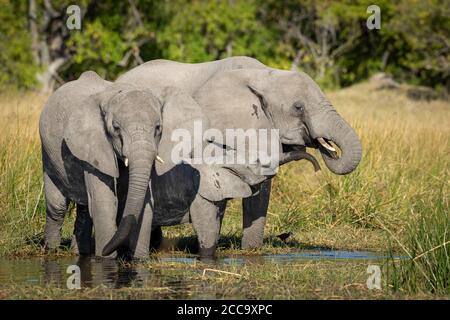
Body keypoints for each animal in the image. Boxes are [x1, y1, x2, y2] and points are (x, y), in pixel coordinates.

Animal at [38, 70, 162, 258]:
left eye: (158, 128)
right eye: (116, 128)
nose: (105, 250)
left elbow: (146, 202)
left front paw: (140, 259)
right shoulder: (93, 146)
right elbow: (103, 202)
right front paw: (105, 259)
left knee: (84, 209)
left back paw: (80, 253)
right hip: (48, 153)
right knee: (57, 206)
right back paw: (51, 251)